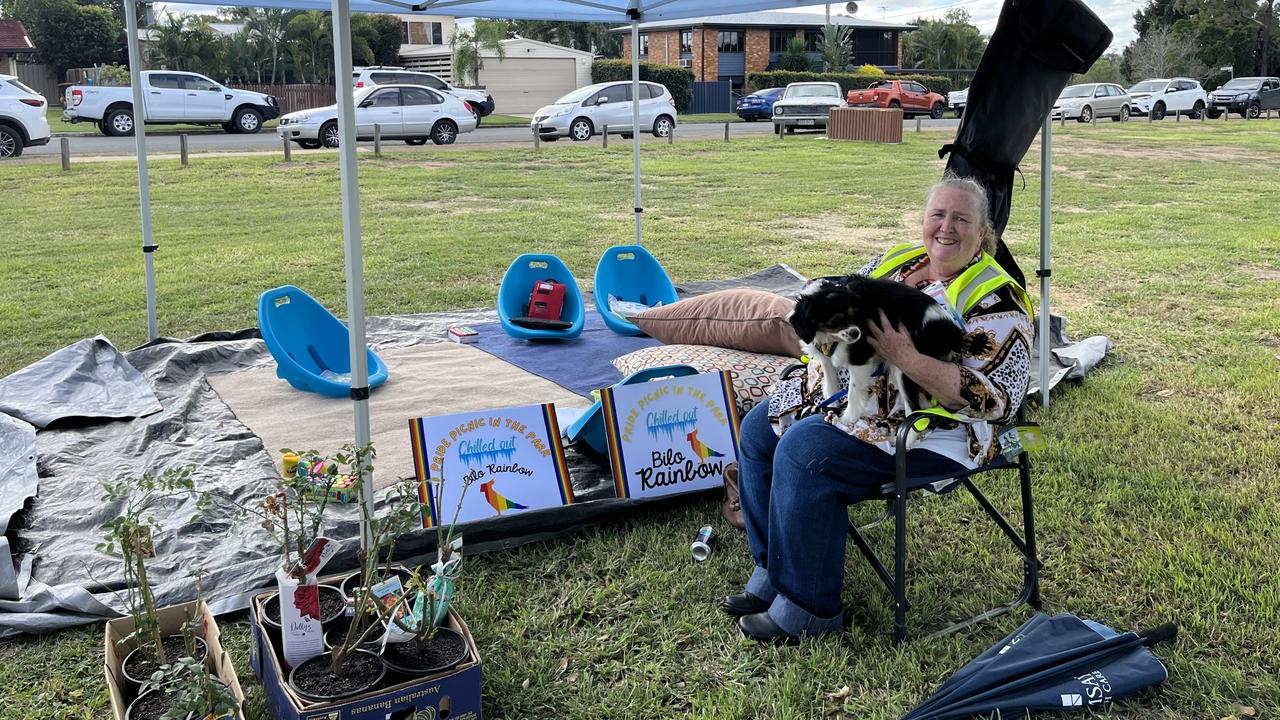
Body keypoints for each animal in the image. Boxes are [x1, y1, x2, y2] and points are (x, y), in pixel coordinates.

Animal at [788, 274, 962, 425]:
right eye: (835, 322)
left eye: (854, 315)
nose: (856, 333)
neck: (831, 338)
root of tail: (952, 332)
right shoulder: (826, 359)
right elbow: (831, 386)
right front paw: (832, 407)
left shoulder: (860, 356)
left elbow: (853, 391)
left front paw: (848, 418)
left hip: (907, 363)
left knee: (913, 408)